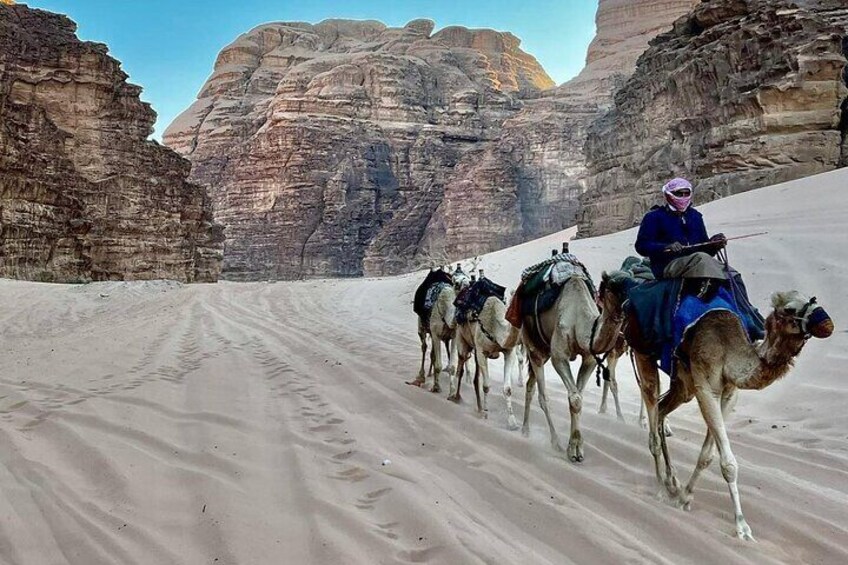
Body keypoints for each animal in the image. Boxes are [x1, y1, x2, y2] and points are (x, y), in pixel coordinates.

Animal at [450, 290, 524, 428]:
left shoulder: (508, 352)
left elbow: (507, 389)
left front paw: (512, 422)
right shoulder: (481, 352)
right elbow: (486, 386)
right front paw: (485, 414)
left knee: (474, 377)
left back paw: (478, 407)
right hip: (461, 338)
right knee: (461, 365)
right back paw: (454, 396)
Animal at [516, 270, 628, 460]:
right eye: (612, 287)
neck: (579, 318)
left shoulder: (589, 358)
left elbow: (579, 397)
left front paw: (578, 447)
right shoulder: (559, 356)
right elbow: (574, 399)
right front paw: (573, 449)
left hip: (544, 350)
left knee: (531, 385)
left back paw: (526, 429)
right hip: (532, 343)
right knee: (542, 396)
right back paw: (554, 442)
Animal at [628, 290, 836, 536]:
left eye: (812, 300)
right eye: (790, 309)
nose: (826, 323)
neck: (729, 351)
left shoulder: (729, 394)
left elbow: (707, 456)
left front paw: (685, 496)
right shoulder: (706, 388)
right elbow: (728, 463)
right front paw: (742, 525)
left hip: (683, 386)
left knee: (661, 409)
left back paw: (672, 482)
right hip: (644, 352)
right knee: (652, 408)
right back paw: (661, 486)